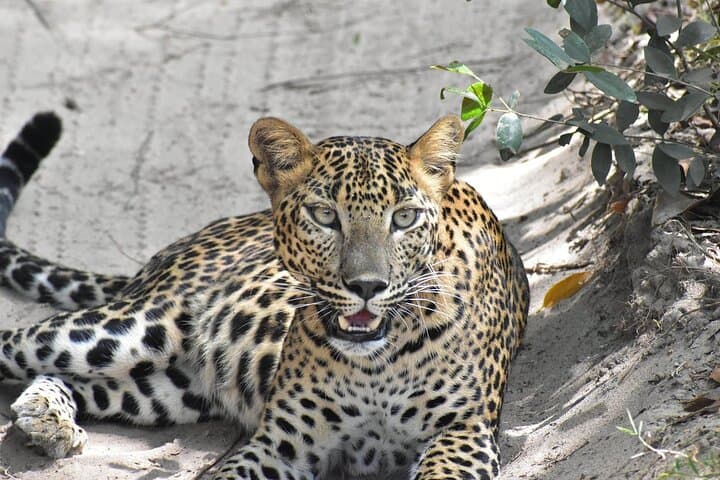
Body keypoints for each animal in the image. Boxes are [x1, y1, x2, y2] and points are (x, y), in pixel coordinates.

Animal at [0, 111, 529, 479]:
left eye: (404, 217)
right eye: (324, 215)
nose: (366, 287)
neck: (375, 363)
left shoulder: (464, 432)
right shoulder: (281, 441)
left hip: (164, 389)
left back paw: (47, 418)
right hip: (136, 327)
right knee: (19, 341)